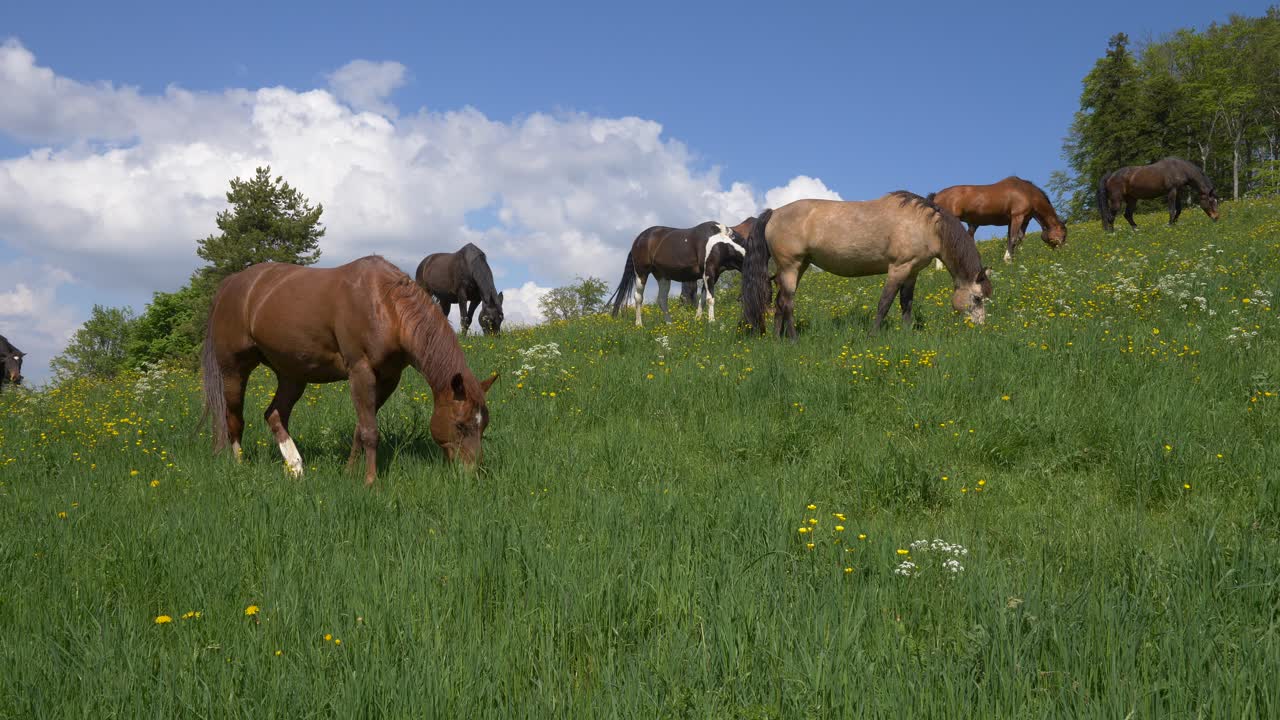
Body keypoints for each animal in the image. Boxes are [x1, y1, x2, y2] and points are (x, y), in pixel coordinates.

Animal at [201, 255, 497, 486]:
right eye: (460, 425)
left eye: (483, 425)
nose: (472, 474)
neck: (385, 303)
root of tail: (230, 284)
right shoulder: (360, 371)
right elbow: (370, 431)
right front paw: (370, 481)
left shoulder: (387, 378)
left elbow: (360, 428)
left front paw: (349, 472)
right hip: (234, 370)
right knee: (233, 418)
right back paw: (240, 465)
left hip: (292, 375)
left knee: (274, 414)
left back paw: (295, 467)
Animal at [608, 220, 748, 325]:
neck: (720, 243)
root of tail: (639, 239)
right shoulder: (709, 273)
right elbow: (710, 299)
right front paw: (712, 322)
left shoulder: (714, 275)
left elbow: (702, 299)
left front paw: (697, 320)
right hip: (641, 273)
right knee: (638, 297)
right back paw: (639, 324)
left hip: (662, 276)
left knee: (662, 300)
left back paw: (669, 324)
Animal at [741, 192, 992, 338]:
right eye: (977, 298)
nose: (980, 328)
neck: (926, 225)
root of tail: (774, 213)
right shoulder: (898, 268)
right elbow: (885, 303)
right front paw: (873, 335)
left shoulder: (912, 272)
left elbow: (906, 304)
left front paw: (908, 334)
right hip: (790, 267)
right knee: (787, 303)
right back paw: (793, 340)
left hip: (797, 267)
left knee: (779, 303)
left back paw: (777, 339)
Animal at [929, 176, 1067, 263]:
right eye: (1064, 235)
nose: (1062, 253)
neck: (1027, 192)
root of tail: (936, 196)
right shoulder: (1018, 217)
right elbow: (1013, 238)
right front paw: (1008, 260)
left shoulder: (1021, 221)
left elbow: (1017, 238)